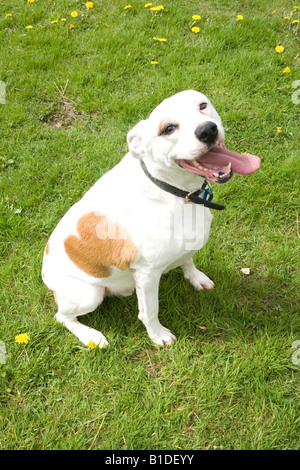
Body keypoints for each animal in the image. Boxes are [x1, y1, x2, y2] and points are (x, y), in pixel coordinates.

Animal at [42, 90, 260, 346]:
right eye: (168, 129)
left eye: (202, 105)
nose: (207, 130)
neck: (176, 193)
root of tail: (44, 273)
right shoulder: (147, 275)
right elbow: (150, 311)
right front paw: (158, 335)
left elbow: (188, 260)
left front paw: (196, 278)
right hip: (88, 294)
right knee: (62, 317)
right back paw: (91, 336)